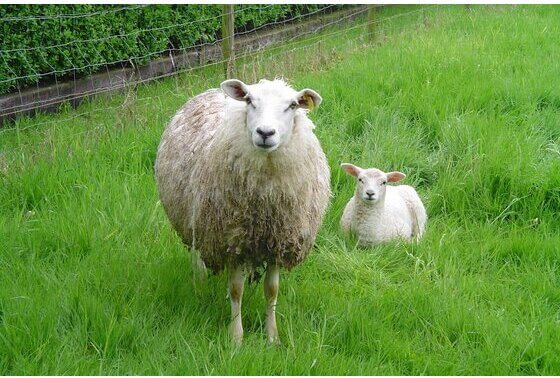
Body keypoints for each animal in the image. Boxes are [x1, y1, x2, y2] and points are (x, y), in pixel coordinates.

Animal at [153, 79, 330, 346]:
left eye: (292, 105)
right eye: (249, 101)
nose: (265, 133)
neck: (265, 203)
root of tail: (211, 91)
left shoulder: (278, 241)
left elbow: (272, 290)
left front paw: (272, 336)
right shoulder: (232, 241)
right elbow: (236, 290)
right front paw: (236, 337)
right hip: (195, 221)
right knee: (196, 253)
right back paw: (200, 283)